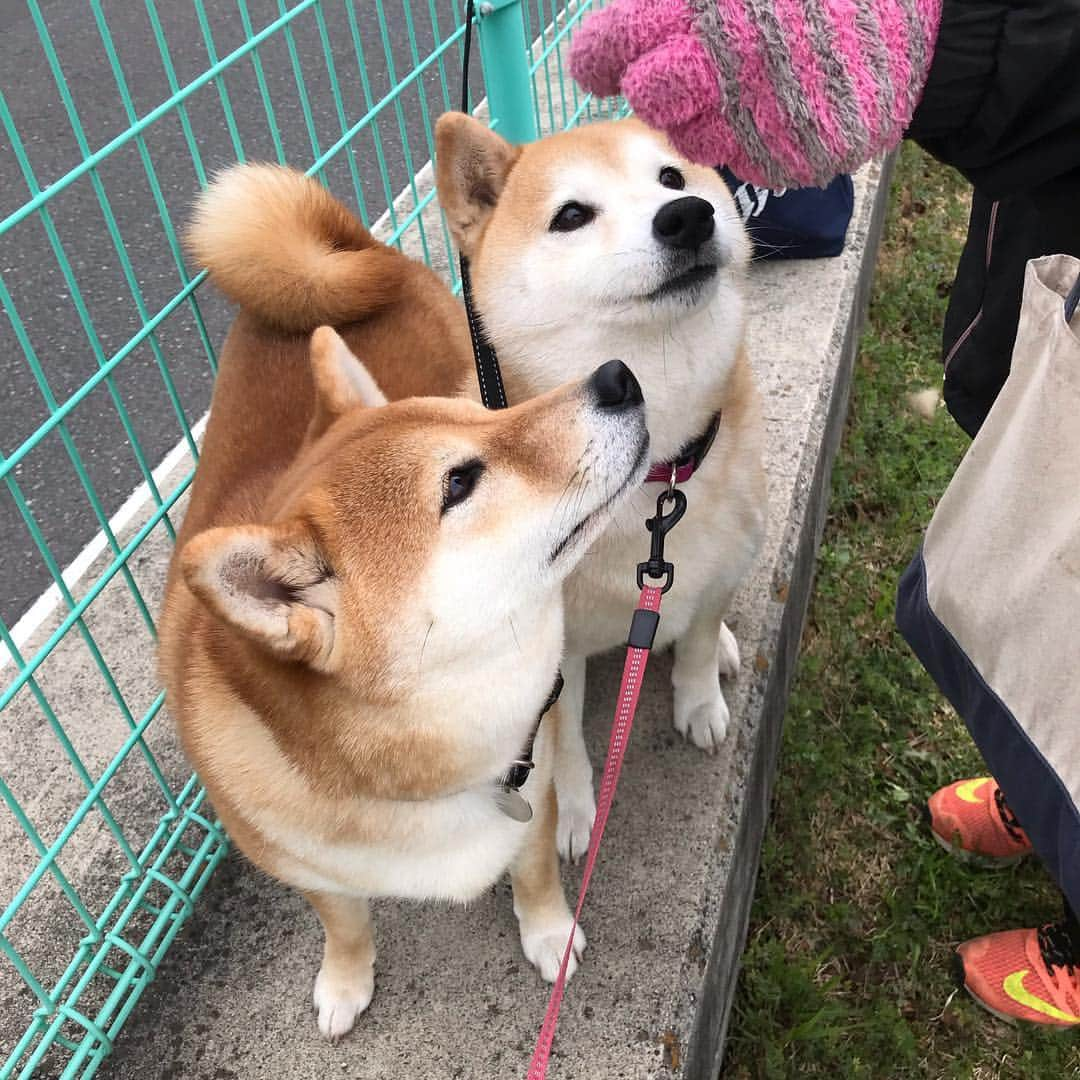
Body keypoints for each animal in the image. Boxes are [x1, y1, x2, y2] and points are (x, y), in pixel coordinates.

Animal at [159, 166, 648, 1036]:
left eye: (485, 415)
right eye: (459, 482)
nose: (617, 376)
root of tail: (345, 254)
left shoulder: (534, 777)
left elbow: (533, 876)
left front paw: (548, 933)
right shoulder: (305, 862)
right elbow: (343, 920)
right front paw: (345, 979)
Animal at [434, 116, 764, 859]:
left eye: (672, 177)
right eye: (571, 216)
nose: (687, 215)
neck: (654, 471)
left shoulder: (721, 564)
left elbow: (700, 633)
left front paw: (699, 699)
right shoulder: (551, 663)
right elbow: (566, 746)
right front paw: (576, 811)